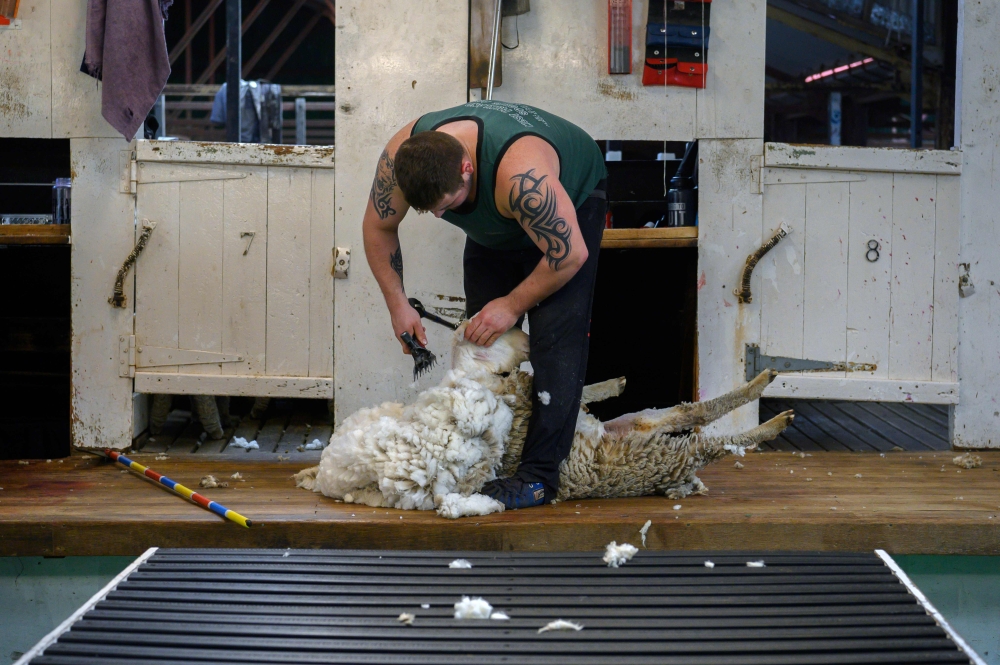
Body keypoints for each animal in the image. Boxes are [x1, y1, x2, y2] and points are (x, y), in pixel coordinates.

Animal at [292, 322, 792, 520]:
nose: (525, 334)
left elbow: (568, 393)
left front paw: (610, 382)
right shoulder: (517, 398)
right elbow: (550, 390)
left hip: (643, 426)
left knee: (685, 411)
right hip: (662, 452)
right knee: (711, 433)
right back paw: (772, 416)